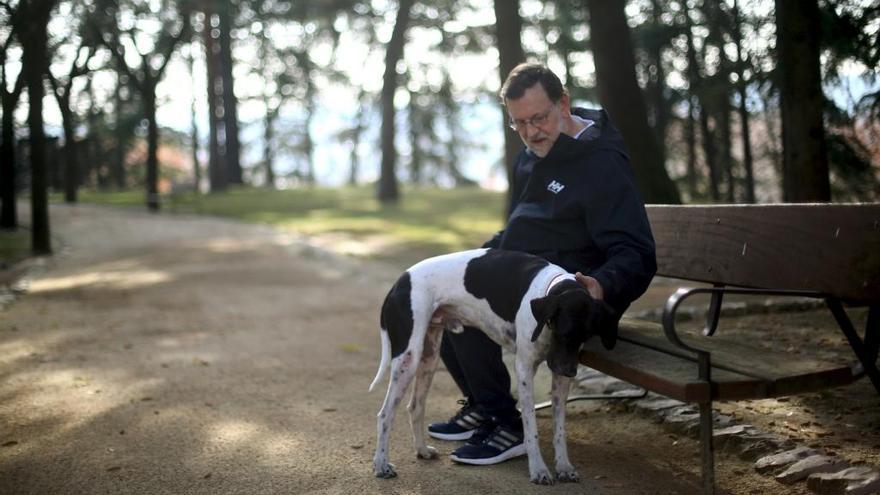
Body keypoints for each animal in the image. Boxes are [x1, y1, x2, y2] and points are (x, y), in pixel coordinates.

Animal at [368, 248, 616, 484]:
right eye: (563, 333)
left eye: (587, 336)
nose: (571, 371)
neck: (549, 286)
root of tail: (400, 281)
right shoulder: (525, 369)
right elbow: (531, 428)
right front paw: (538, 469)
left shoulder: (561, 379)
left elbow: (560, 430)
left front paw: (564, 466)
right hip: (408, 358)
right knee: (385, 414)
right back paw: (381, 465)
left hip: (429, 356)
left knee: (415, 406)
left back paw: (421, 450)